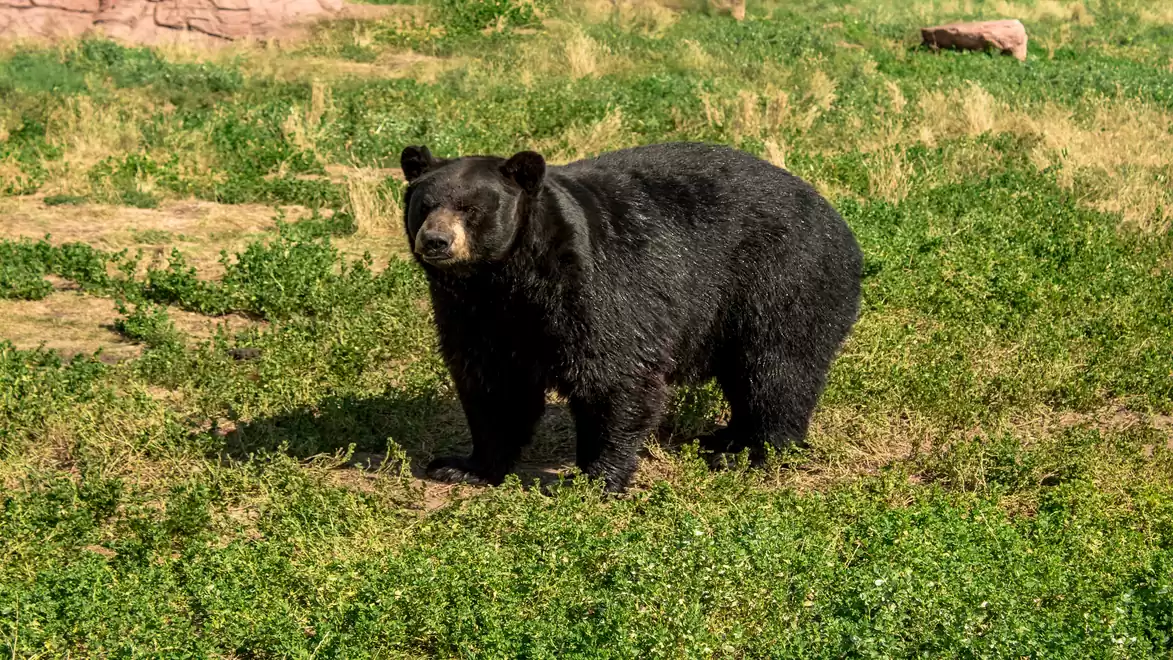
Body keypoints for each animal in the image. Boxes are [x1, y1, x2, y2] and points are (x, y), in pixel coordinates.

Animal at [400, 142, 863, 492]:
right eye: (424, 205)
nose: (436, 241)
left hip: (782, 277)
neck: (506, 278)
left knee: (777, 367)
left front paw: (594, 478)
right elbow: (493, 384)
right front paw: (462, 465)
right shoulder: (473, 312)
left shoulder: (595, 286)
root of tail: (838, 219)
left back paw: (755, 450)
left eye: (470, 208)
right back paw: (726, 438)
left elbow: (613, 373)